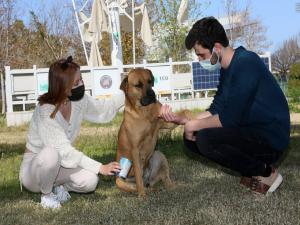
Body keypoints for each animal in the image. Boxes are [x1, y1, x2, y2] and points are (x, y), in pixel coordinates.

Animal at [115, 68, 185, 197]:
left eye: (150, 81)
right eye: (138, 85)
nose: (152, 94)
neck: (144, 113)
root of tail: (148, 179)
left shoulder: (167, 124)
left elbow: (183, 114)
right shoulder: (135, 150)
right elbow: (138, 176)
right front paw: (142, 195)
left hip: (158, 155)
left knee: (165, 179)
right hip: (120, 180)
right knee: (138, 184)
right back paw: (146, 190)